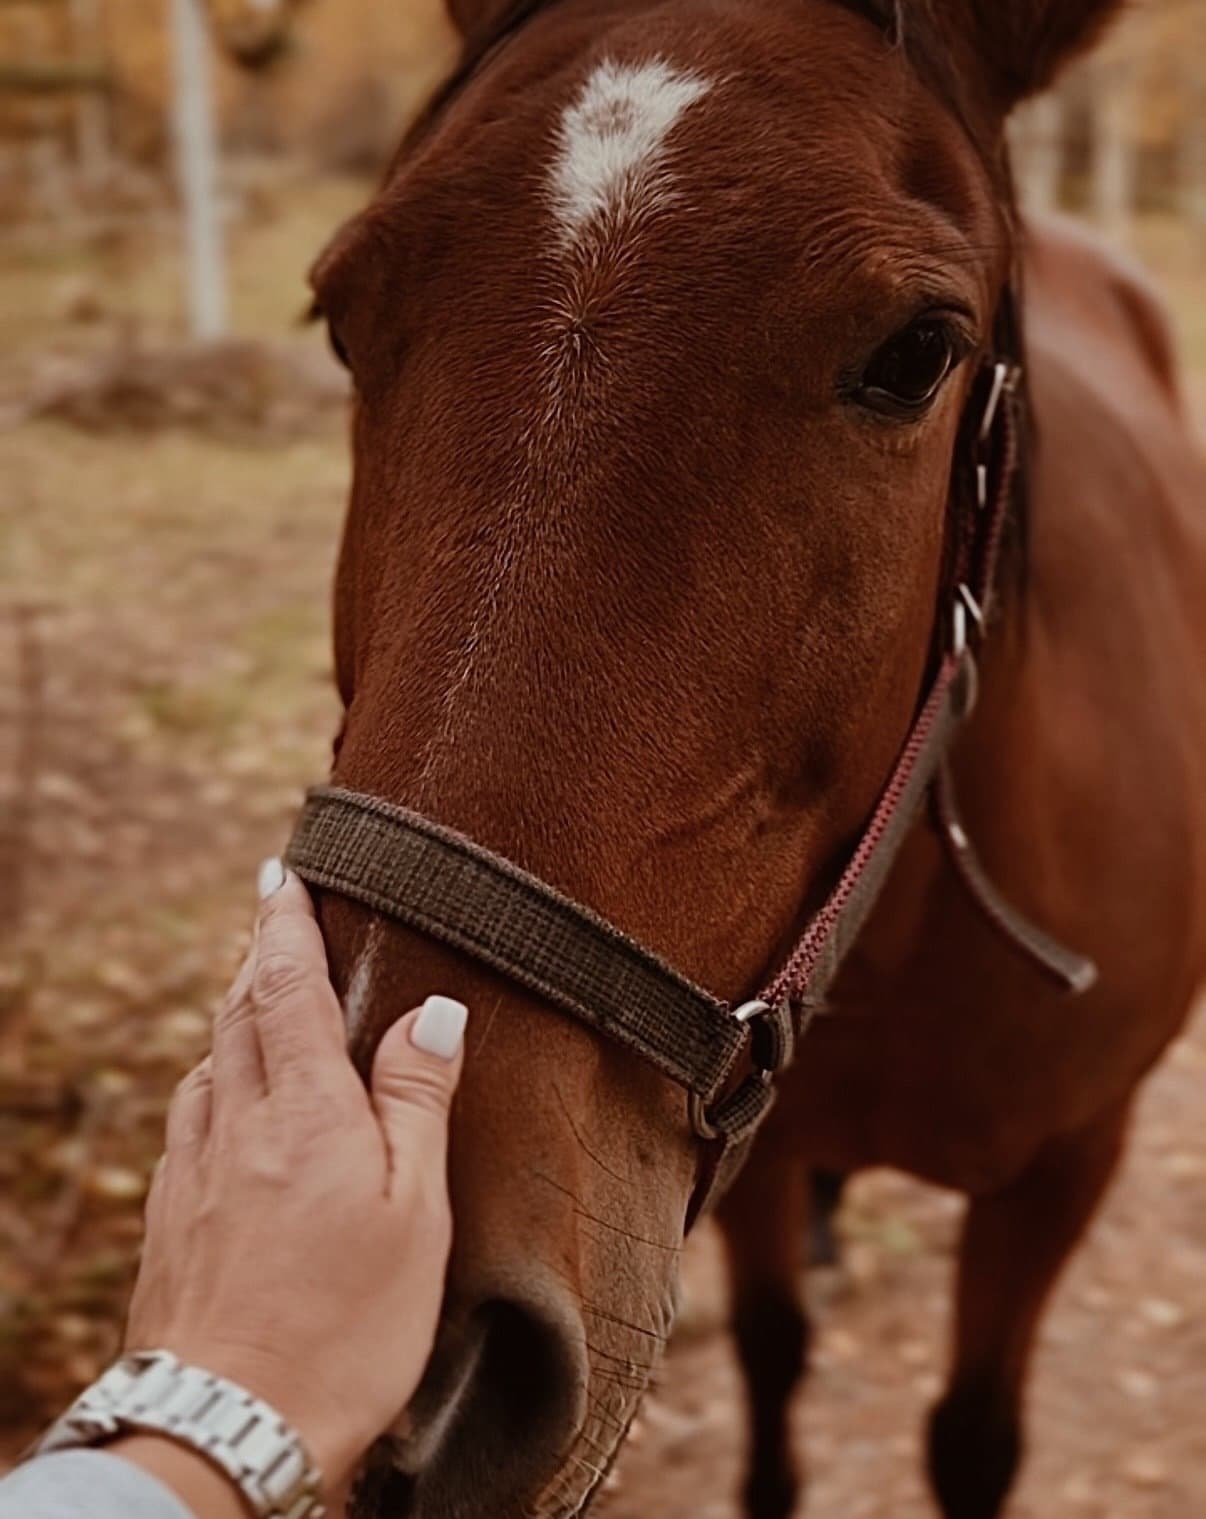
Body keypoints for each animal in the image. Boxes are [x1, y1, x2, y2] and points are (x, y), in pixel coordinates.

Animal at [296, 2, 1206, 1517]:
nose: (394, 1330)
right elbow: (776, 1347)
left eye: (916, 352)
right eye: (341, 318)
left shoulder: (1066, 1169)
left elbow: (973, 1434)